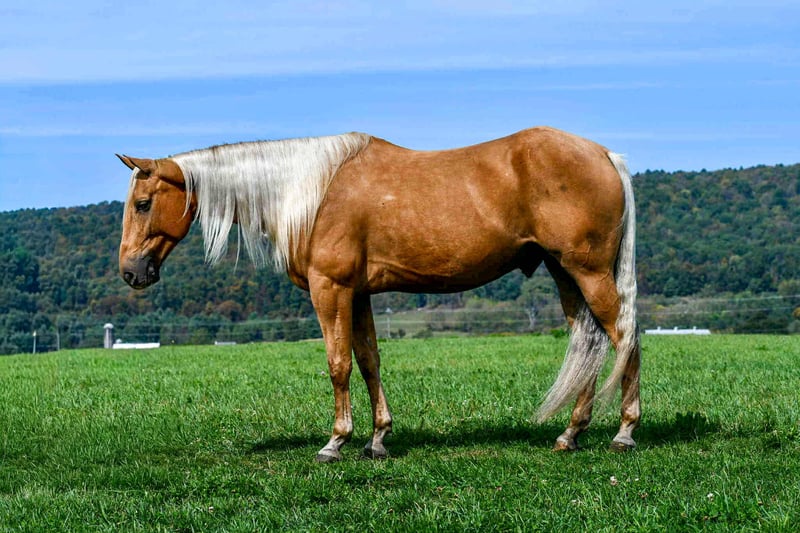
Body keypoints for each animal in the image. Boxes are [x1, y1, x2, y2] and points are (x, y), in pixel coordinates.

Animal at [117, 126, 640, 462]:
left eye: (143, 204)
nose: (130, 272)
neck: (310, 191)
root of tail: (604, 154)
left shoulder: (331, 289)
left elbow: (338, 364)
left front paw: (336, 442)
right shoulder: (360, 294)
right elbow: (369, 360)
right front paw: (378, 439)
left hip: (589, 272)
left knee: (625, 338)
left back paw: (624, 432)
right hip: (564, 274)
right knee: (588, 344)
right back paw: (570, 434)